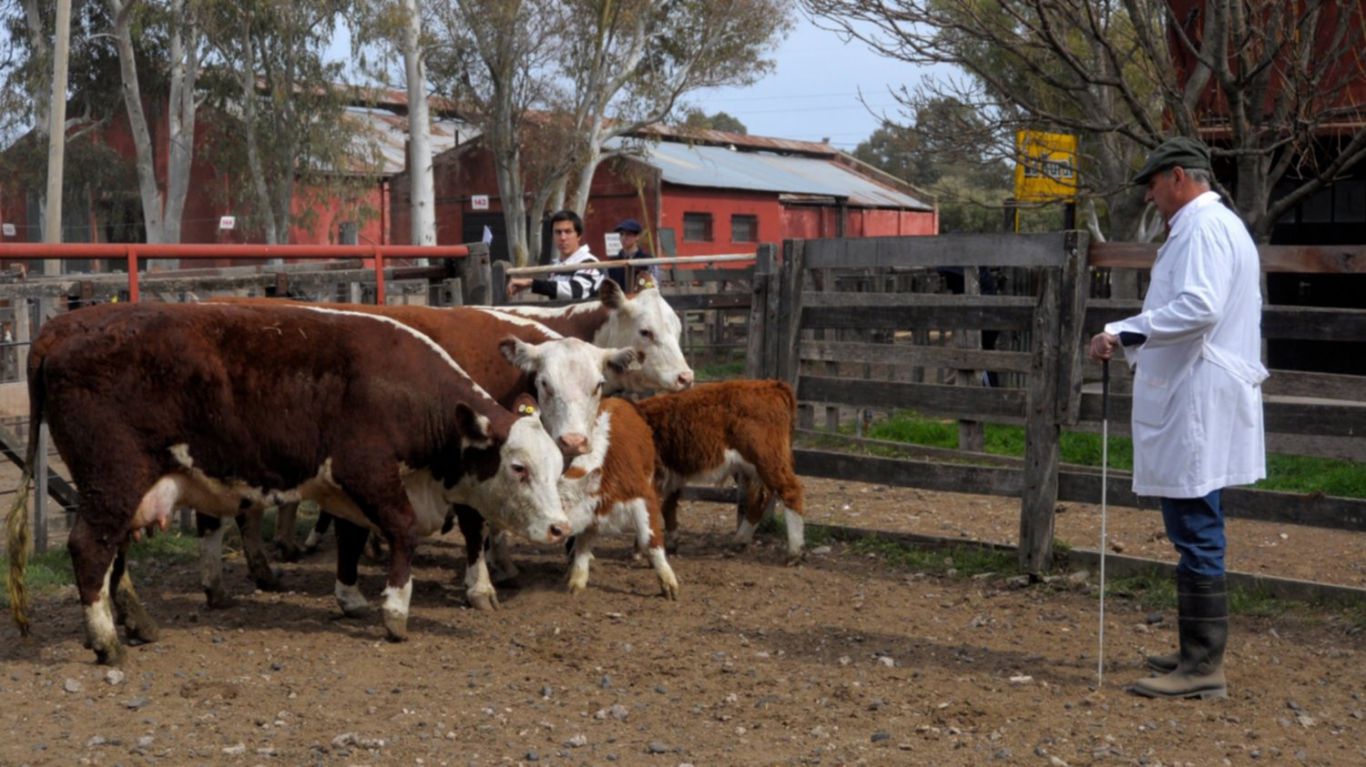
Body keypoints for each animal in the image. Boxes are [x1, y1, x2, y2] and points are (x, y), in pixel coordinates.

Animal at [2, 302, 568, 661]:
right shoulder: (367, 471)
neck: (405, 392)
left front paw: (352, 598)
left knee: (113, 553)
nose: (560, 528)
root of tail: (62, 328)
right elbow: (403, 533)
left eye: (557, 465)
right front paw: (395, 612)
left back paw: (138, 623)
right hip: (111, 481)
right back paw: (106, 641)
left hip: (124, 488)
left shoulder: (345, 487)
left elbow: (351, 537)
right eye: (519, 468)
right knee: (90, 548)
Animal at [633, 380, 803, 566]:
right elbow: (667, 506)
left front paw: (641, 551)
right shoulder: (673, 475)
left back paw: (794, 553)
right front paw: (670, 544)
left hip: (768, 460)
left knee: (791, 491)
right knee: (760, 498)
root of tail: (773, 385)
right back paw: (739, 541)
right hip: (752, 468)